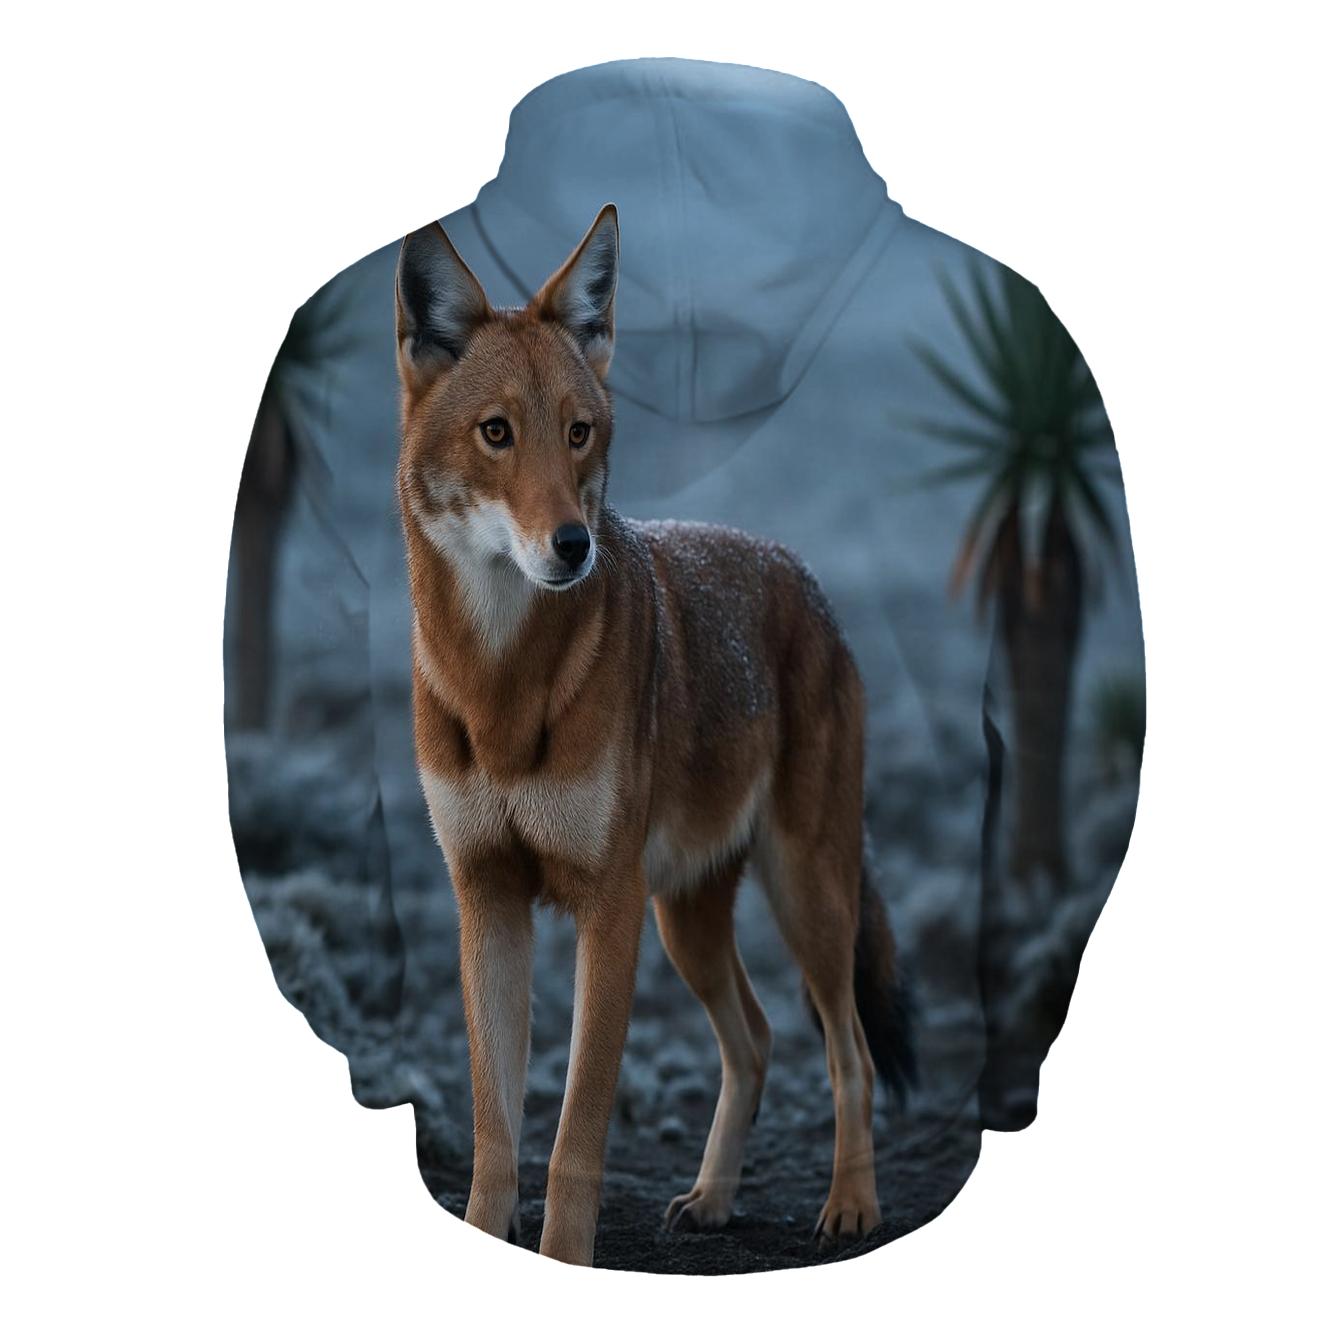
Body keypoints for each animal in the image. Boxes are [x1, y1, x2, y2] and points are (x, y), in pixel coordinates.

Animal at [395, 204, 915, 1266]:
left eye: (580, 433)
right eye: (496, 433)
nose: (573, 545)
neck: (500, 686)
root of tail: (801, 575)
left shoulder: (608, 905)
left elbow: (575, 1132)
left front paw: (563, 1256)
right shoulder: (486, 900)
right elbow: (497, 1128)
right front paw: (487, 1234)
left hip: (801, 895)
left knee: (844, 1048)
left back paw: (849, 1206)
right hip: (688, 919)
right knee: (755, 1038)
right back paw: (711, 1199)